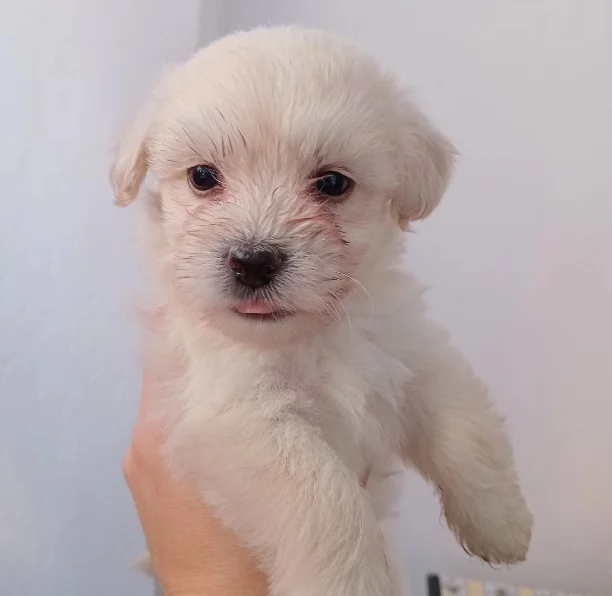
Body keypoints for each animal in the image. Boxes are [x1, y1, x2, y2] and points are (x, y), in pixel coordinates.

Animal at [111, 26, 533, 596]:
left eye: (333, 183)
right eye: (202, 177)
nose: (253, 261)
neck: (313, 333)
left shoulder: (411, 351)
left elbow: (466, 423)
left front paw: (500, 522)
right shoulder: (236, 416)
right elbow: (324, 497)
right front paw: (348, 582)